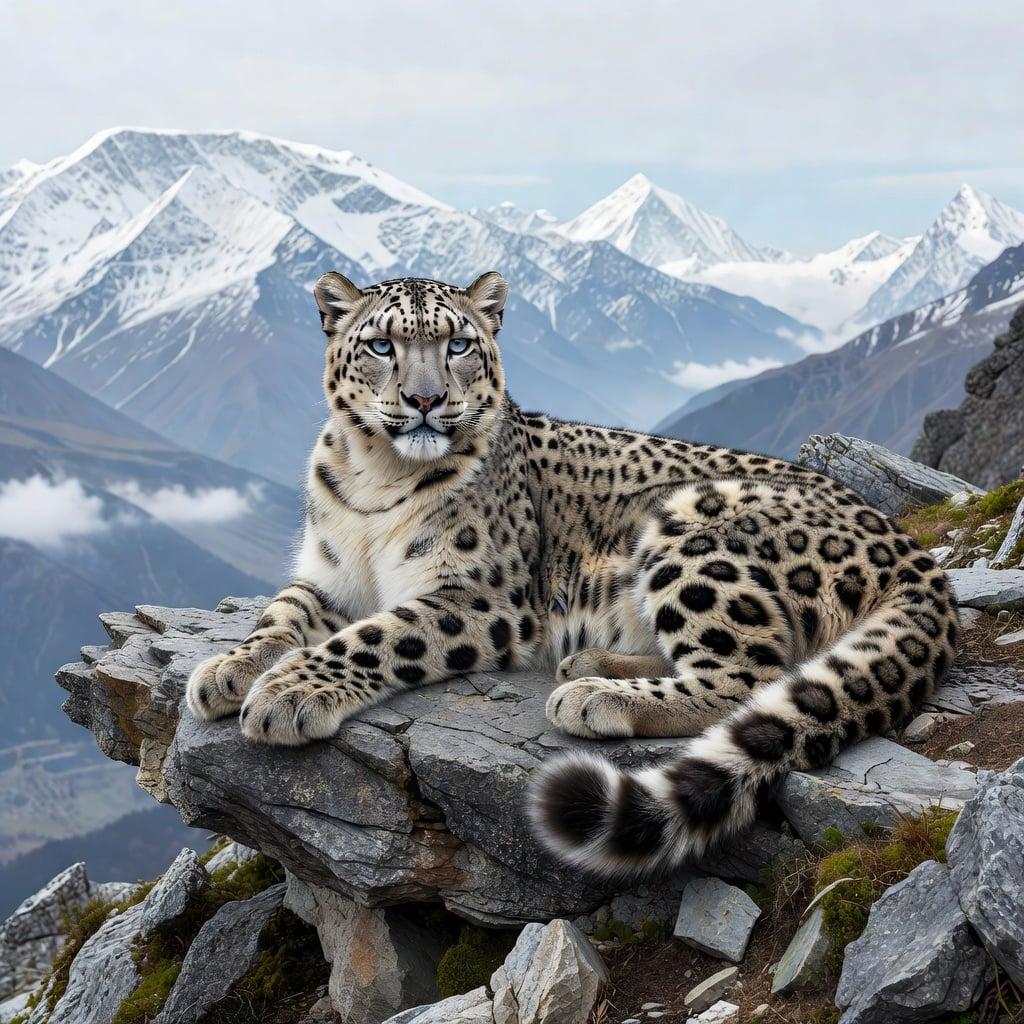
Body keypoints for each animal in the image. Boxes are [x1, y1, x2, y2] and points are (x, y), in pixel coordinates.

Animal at [186, 270, 958, 878]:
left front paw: (285, 692)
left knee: (750, 676)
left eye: (458, 344)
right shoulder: (328, 576)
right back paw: (591, 662)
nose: (427, 401)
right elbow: (280, 616)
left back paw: (590, 696)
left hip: (693, 531)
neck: (375, 479)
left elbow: (372, 637)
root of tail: (911, 550)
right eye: (381, 345)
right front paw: (227, 670)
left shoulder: (478, 596)